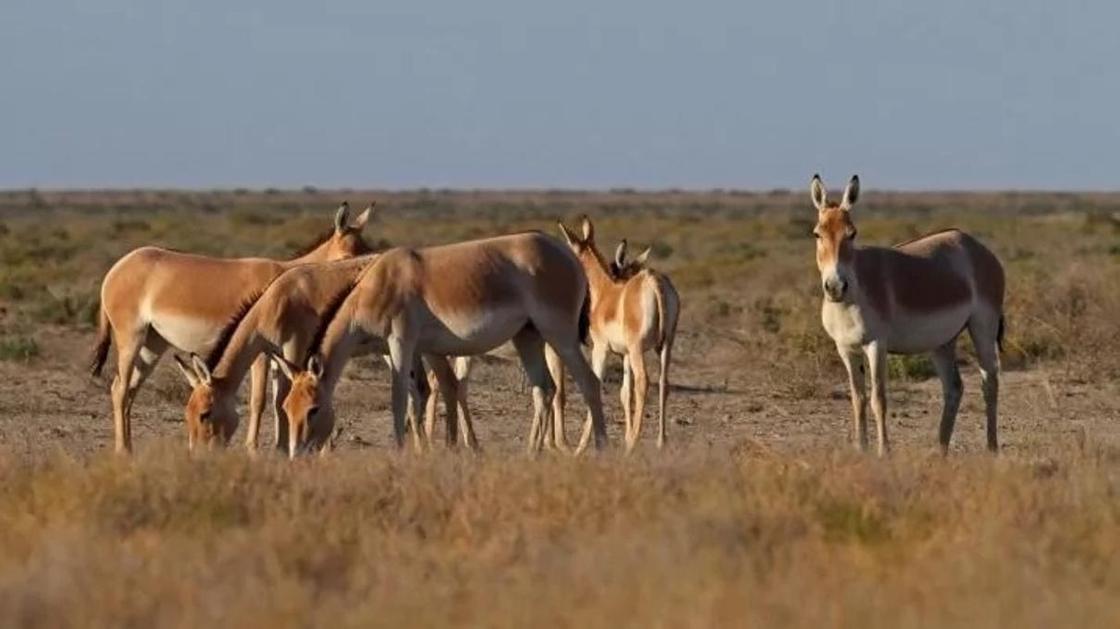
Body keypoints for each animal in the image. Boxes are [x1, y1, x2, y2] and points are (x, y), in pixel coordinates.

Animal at [91, 200, 371, 449]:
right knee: (120, 389)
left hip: (153, 344)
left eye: (368, 252)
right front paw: (254, 449)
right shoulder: (261, 352)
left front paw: (279, 448)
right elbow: (259, 401)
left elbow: (280, 400)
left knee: (128, 390)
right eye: (347, 257)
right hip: (131, 338)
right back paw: (122, 451)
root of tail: (117, 267)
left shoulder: (278, 356)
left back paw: (129, 449)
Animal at [172, 251, 474, 452]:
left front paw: (284, 450)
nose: (198, 457)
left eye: (205, 413)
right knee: (422, 388)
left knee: (441, 384)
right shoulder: (276, 355)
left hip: (426, 344)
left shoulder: (294, 346)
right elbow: (278, 399)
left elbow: (280, 400)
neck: (274, 302)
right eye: (187, 413)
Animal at [284, 230, 609, 449]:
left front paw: (401, 452)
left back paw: (600, 451)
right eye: (287, 407)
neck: (375, 286)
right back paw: (531, 455)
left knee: (590, 383)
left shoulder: (401, 342)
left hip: (560, 333)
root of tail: (567, 253)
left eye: (313, 409)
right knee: (544, 389)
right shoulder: (423, 349)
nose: (296, 455)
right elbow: (430, 392)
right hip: (527, 336)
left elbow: (399, 398)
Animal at [560, 217, 680, 449]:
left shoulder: (601, 349)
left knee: (644, 382)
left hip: (637, 350)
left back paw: (633, 443)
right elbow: (625, 392)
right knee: (664, 383)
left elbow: (595, 384)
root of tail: (654, 281)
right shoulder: (624, 354)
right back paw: (660, 442)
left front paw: (582, 446)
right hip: (665, 346)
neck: (605, 291)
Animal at [806, 173, 1008, 452]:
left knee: (990, 382)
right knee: (954, 387)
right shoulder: (845, 348)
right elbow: (858, 399)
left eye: (852, 234)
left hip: (983, 326)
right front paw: (861, 451)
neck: (853, 294)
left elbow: (878, 399)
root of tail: (974, 245)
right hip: (942, 340)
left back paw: (991, 448)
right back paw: (940, 450)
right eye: (817, 234)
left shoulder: (876, 344)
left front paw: (884, 453)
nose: (836, 287)